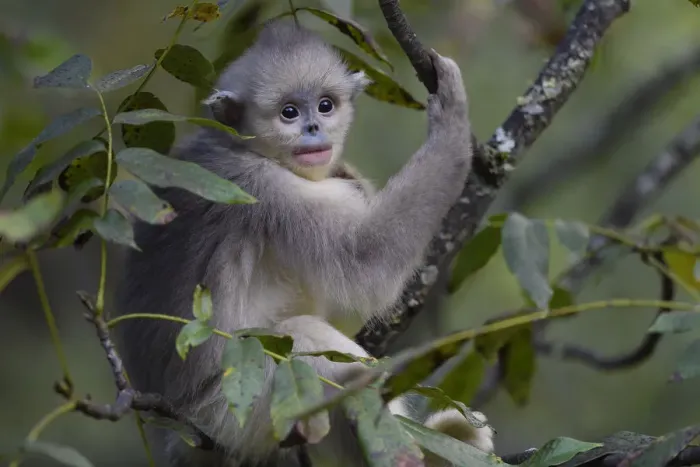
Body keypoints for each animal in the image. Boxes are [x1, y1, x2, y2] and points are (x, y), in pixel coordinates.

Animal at [115, 19, 494, 467]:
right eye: (289, 113)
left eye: (326, 106)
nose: (314, 129)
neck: (241, 147)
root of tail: (178, 434)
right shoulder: (262, 190)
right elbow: (367, 262)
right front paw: (453, 117)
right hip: (235, 411)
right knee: (305, 338)